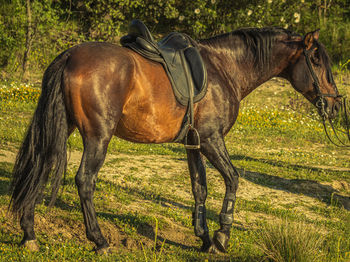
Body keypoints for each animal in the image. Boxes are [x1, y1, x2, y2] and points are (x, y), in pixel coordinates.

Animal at [8, 27, 342, 254]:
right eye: (316, 59)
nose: (336, 106)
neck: (225, 69)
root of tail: (69, 56)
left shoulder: (193, 143)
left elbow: (199, 188)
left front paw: (204, 237)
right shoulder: (210, 139)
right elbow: (233, 178)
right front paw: (222, 236)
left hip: (63, 127)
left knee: (42, 167)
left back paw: (29, 234)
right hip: (97, 136)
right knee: (85, 181)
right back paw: (100, 240)